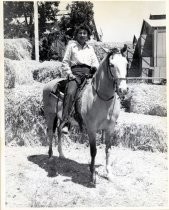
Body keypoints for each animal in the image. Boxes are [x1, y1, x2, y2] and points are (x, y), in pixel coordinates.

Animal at [42, 45, 128, 185]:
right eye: (112, 65)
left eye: (126, 63)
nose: (123, 90)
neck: (102, 98)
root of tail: (48, 84)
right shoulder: (91, 129)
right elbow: (93, 151)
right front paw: (92, 176)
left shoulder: (110, 129)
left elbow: (108, 150)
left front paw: (109, 174)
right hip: (50, 115)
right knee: (50, 133)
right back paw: (50, 157)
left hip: (63, 118)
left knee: (59, 130)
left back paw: (61, 154)